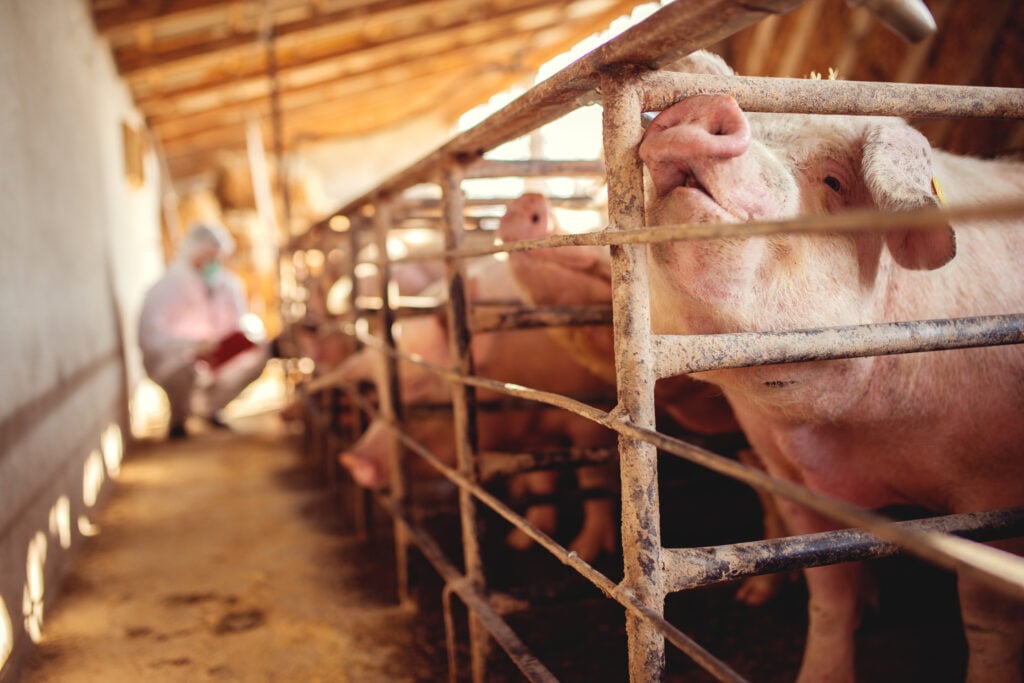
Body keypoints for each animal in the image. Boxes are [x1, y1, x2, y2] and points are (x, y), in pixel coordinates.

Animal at [339, 255, 618, 561]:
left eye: (416, 383)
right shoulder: (532, 434)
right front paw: (519, 541)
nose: (351, 460)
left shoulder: (590, 420)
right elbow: (541, 480)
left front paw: (587, 551)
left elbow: (593, 481)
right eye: (378, 388)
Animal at [638, 50, 1024, 683]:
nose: (706, 105)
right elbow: (829, 590)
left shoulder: (994, 491)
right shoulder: (791, 477)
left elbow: (987, 622)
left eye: (835, 181)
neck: (850, 435)